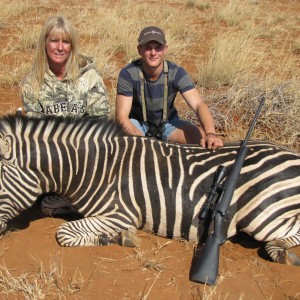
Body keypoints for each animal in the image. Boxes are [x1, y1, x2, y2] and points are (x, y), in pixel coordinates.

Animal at [0, 114, 298, 264]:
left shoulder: (120, 214)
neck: (93, 168)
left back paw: (280, 252)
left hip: (262, 216)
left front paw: (117, 238)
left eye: (0, 182)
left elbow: (64, 233)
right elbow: (48, 204)